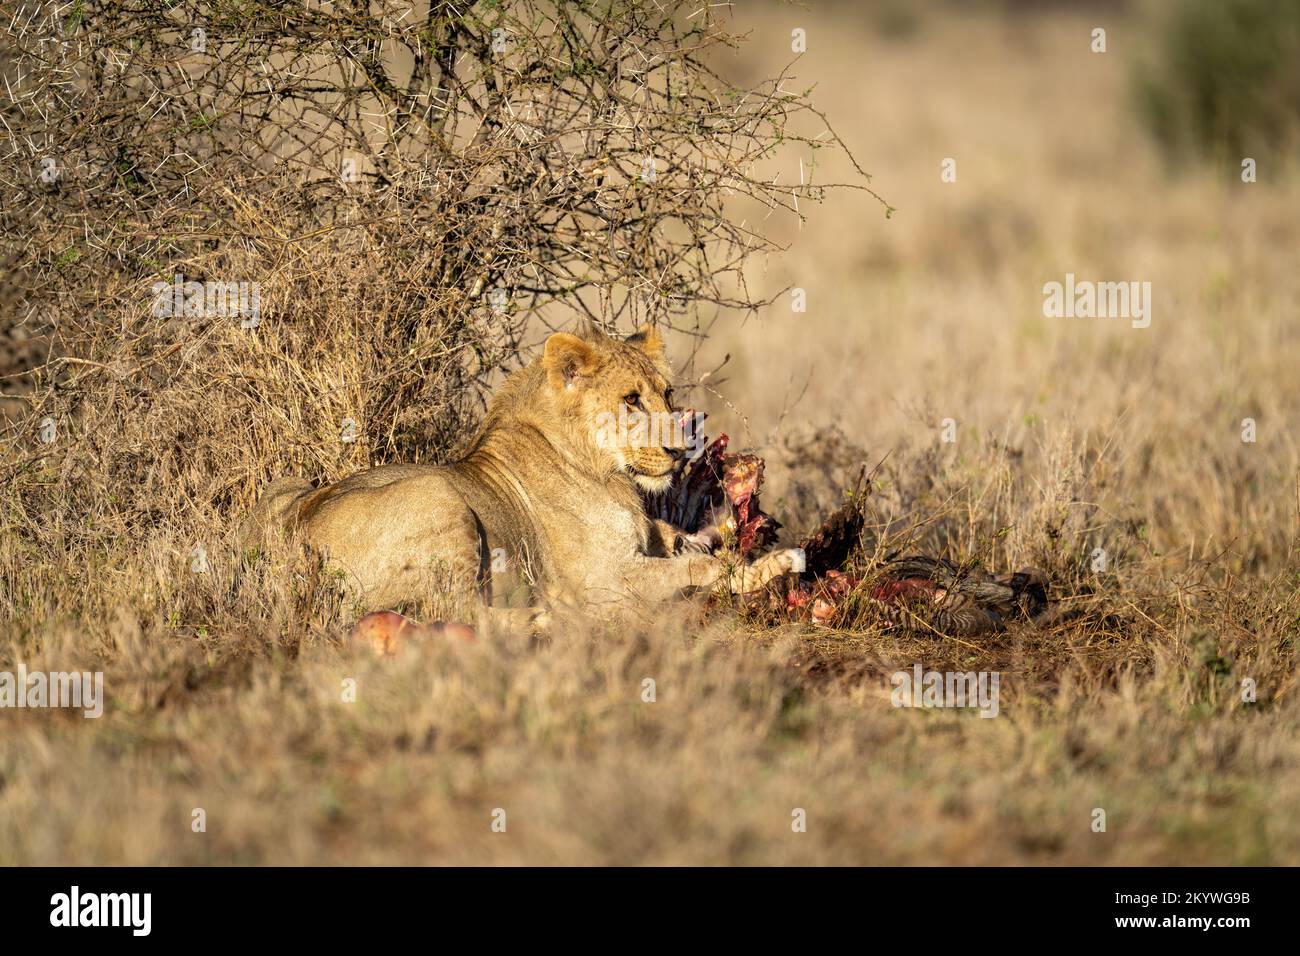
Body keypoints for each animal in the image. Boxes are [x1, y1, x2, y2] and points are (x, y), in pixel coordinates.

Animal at [243, 325, 805, 631]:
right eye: (630, 399)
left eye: (666, 394)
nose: (677, 449)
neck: (607, 472)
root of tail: (291, 539)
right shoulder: (605, 580)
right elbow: (695, 569)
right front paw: (767, 565)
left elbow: (682, 545)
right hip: (440, 498)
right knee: (460, 613)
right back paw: (548, 618)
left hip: (286, 485)